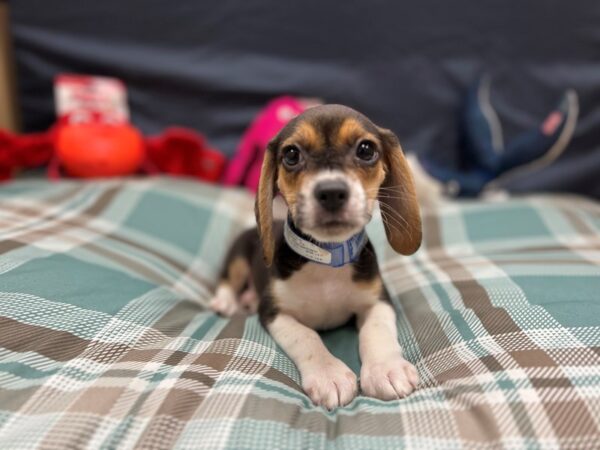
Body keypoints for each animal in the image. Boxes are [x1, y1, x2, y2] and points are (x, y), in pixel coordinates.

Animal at [211, 104, 422, 408]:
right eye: (291, 154)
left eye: (366, 149)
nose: (332, 192)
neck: (327, 258)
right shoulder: (274, 313)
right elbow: (307, 337)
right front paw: (328, 374)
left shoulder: (378, 301)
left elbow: (377, 330)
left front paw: (386, 368)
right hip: (238, 257)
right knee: (228, 278)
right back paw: (226, 301)